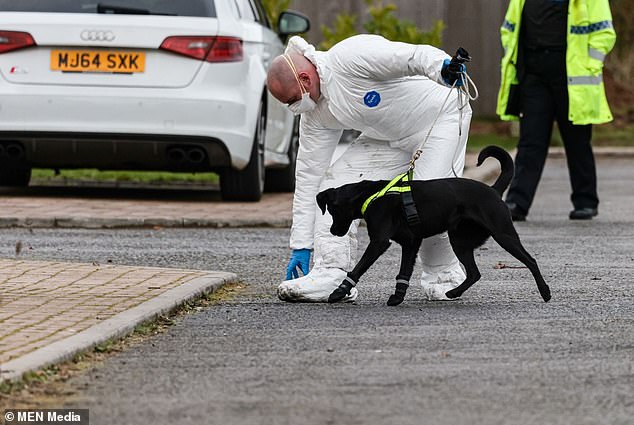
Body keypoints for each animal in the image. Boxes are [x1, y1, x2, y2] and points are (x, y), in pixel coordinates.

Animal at [314, 146, 548, 304]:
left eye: (332, 211)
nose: (333, 231)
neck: (368, 196)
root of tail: (493, 190)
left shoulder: (380, 242)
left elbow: (358, 269)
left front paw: (338, 292)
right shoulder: (411, 243)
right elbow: (404, 272)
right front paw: (398, 297)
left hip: (503, 235)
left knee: (531, 260)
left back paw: (545, 291)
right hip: (459, 240)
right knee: (474, 273)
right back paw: (453, 293)